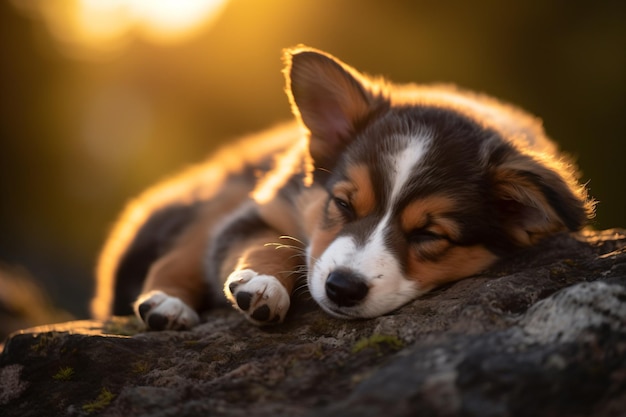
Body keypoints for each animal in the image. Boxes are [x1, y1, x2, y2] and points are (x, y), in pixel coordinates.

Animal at [89, 45, 588, 330]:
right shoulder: (263, 204)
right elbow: (270, 243)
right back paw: (169, 305)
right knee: (176, 255)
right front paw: (263, 285)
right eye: (344, 204)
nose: (342, 289)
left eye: (429, 235)